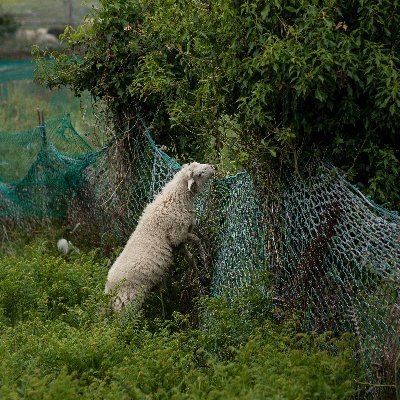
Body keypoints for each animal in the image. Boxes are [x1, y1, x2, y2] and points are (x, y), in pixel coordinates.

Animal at [104, 161, 214, 310]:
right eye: (200, 174)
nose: (213, 168)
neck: (174, 199)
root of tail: (109, 288)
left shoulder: (178, 242)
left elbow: (190, 257)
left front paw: (200, 274)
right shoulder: (177, 234)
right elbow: (197, 239)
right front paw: (203, 256)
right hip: (127, 302)